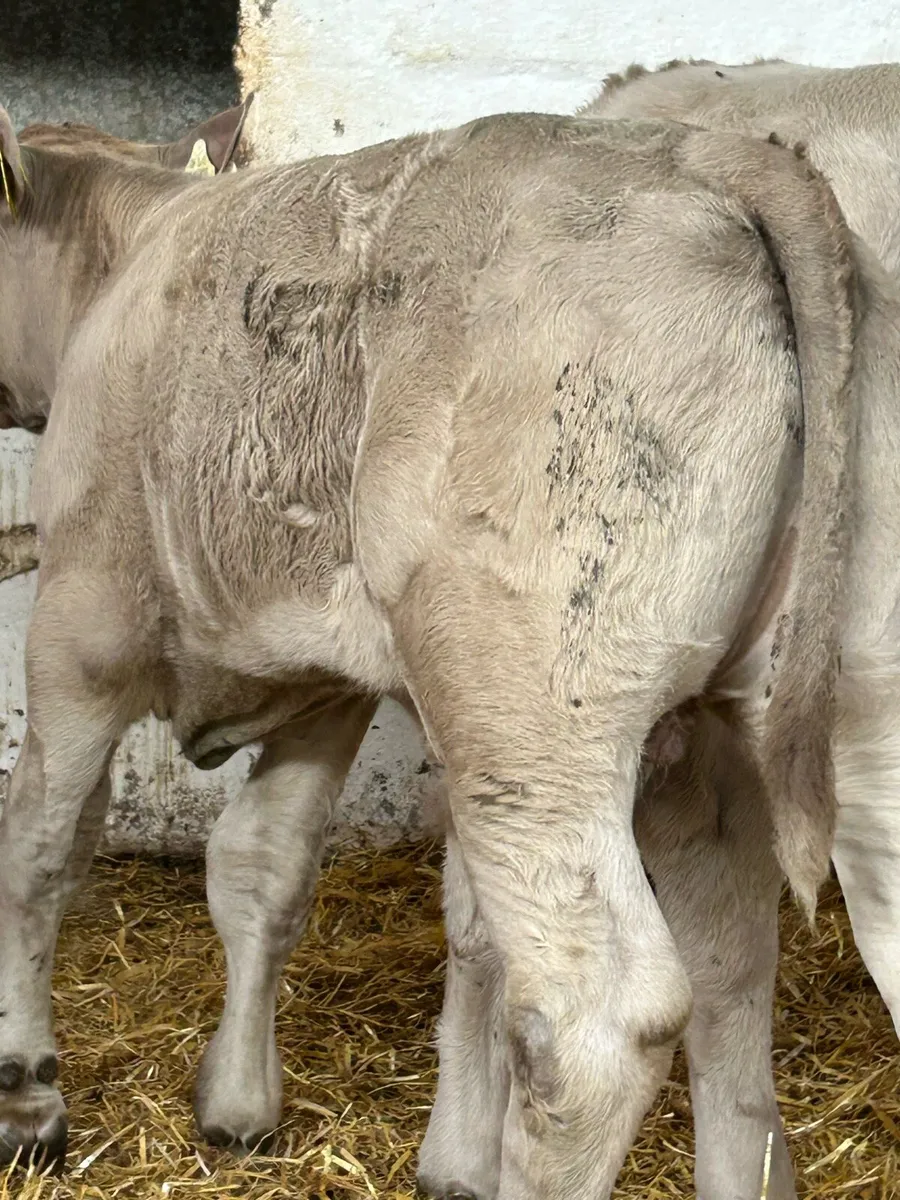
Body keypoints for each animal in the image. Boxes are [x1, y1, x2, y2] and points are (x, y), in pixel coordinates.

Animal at [0, 104, 860, 1200]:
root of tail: (693, 150)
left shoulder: (79, 628)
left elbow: (39, 849)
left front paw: (26, 1091)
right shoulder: (325, 687)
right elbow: (261, 867)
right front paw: (238, 1101)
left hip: (530, 714)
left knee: (591, 1019)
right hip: (716, 725)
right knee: (730, 973)